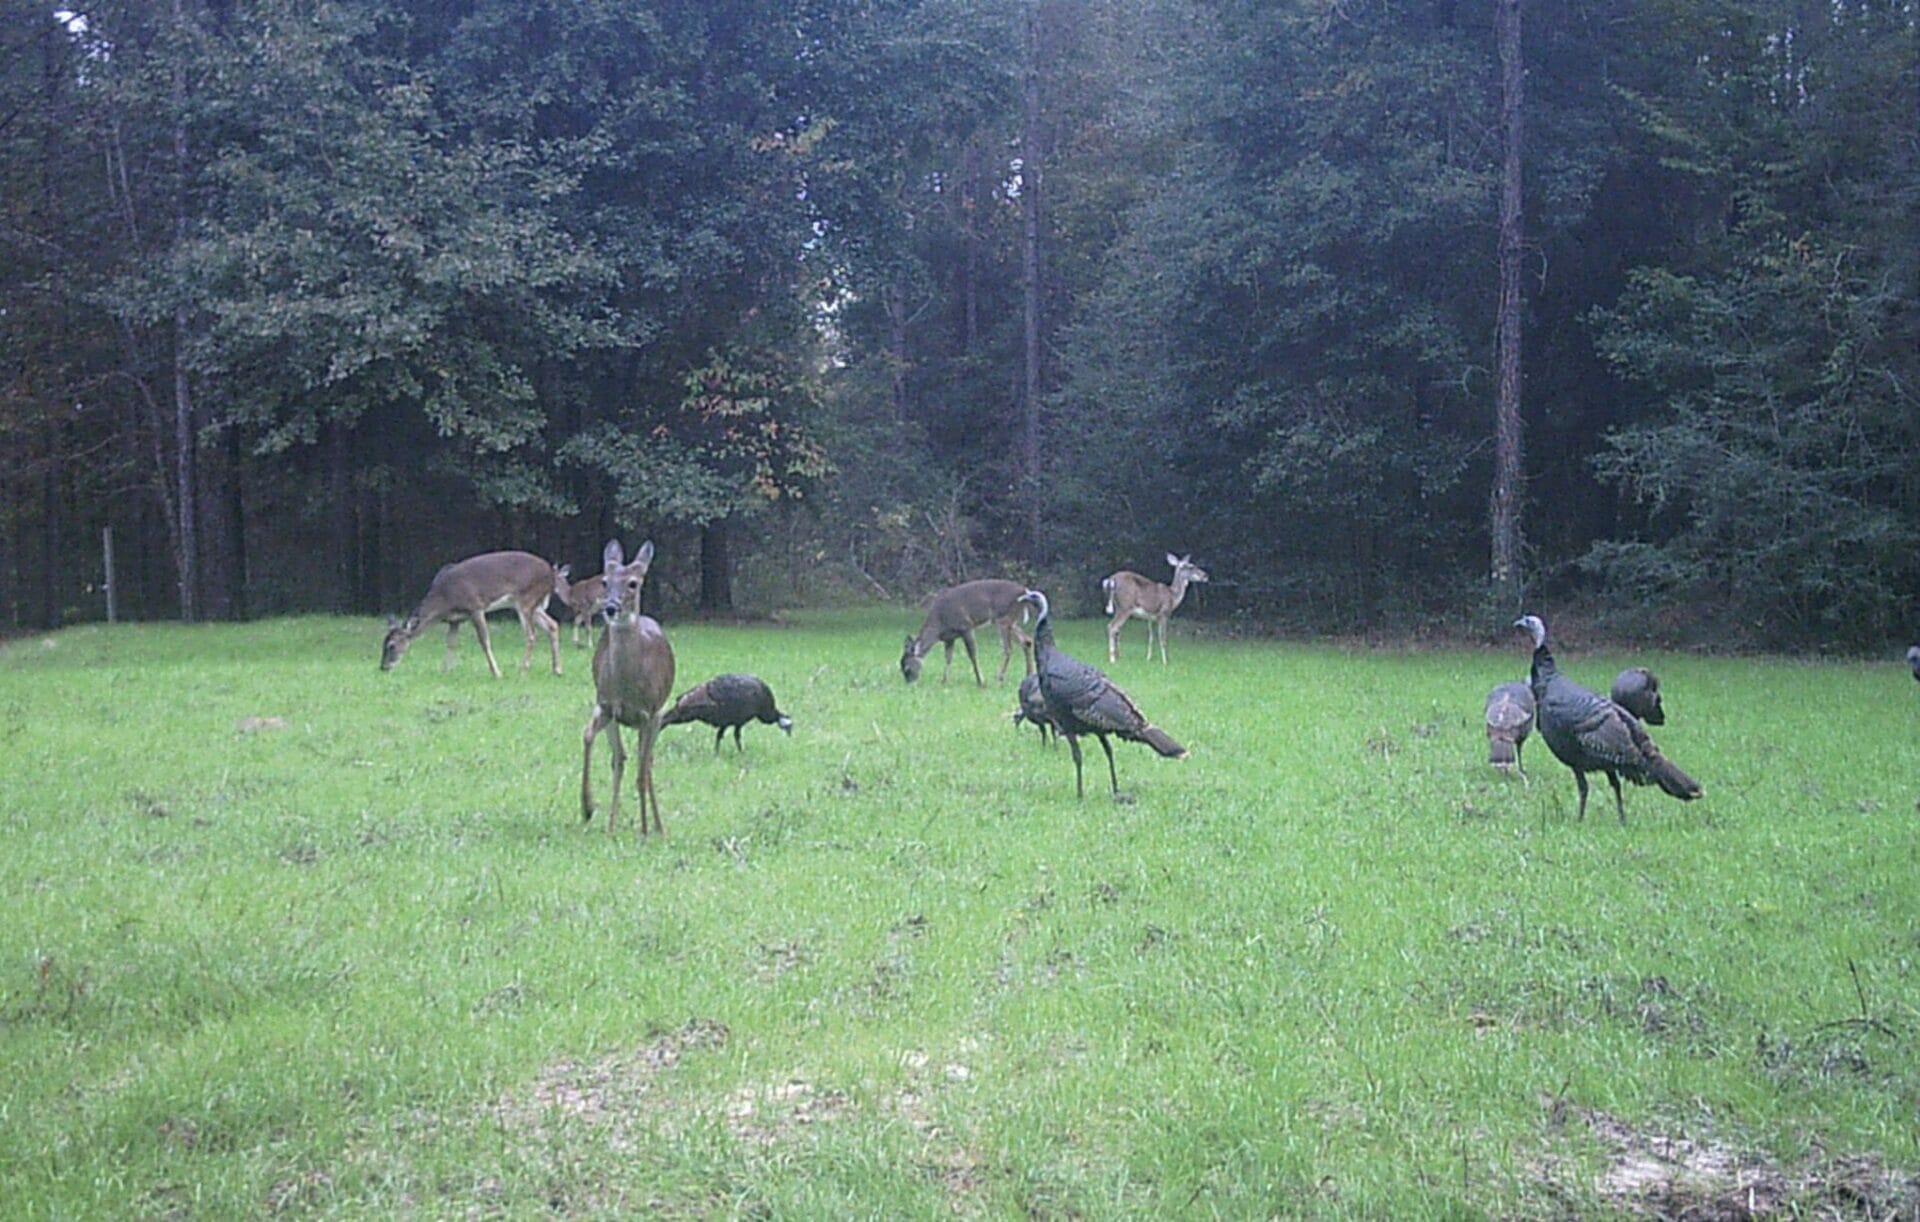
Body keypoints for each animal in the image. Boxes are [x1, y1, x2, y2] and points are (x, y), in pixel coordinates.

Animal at [380, 550, 564, 677]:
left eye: (392, 646)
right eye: (383, 643)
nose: (383, 667)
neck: (444, 601)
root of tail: (551, 574)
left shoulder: (475, 607)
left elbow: (484, 641)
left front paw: (496, 673)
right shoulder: (455, 619)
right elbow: (451, 642)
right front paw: (445, 670)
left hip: (526, 599)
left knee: (531, 634)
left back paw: (523, 670)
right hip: (534, 605)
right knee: (552, 624)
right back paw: (557, 669)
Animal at [581, 539, 675, 835]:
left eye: (633, 583)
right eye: (604, 581)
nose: (610, 608)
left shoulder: (648, 713)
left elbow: (642, 771)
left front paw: (644, 829)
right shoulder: (605, 705)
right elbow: (589, 737)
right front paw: (587, 807)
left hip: (659, 716)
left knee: (647, 763)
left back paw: (657, 826)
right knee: (621, 759)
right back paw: (611, 825)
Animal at [900, 578, 1033, 686]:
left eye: (907, 668)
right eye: (901, 668)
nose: (910, 684)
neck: (939, 625)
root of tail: (1025, 591)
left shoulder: (966, 627)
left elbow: (972, 655)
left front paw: (981, 682)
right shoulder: (949, 638)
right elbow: (948, 657)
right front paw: (944, 681)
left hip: (1004, 619)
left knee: (1008, 649)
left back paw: (999, 678)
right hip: (1010, 622)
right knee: (1027, 641)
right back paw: (1029, 674)